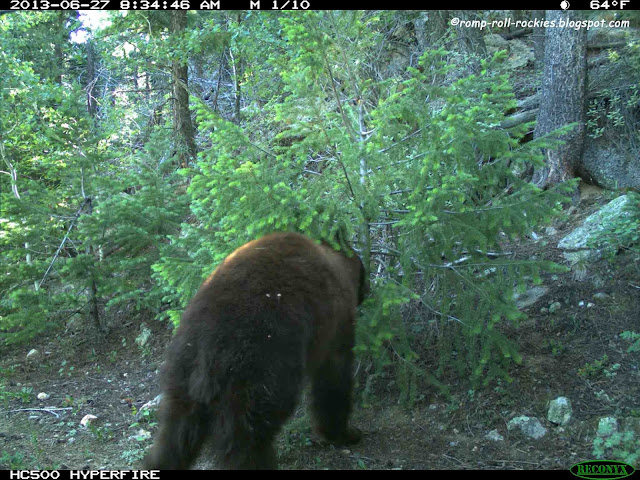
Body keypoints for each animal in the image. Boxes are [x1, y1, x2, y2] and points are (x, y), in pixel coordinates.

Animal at [143, 232, 368, 470]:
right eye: (364, 272)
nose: (368, 289)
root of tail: (205, 350)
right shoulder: (334, 320)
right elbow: (334, 376)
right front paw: (344, 433)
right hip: (255, 371)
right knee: (248, 437)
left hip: (181, 374)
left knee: (174, 435)